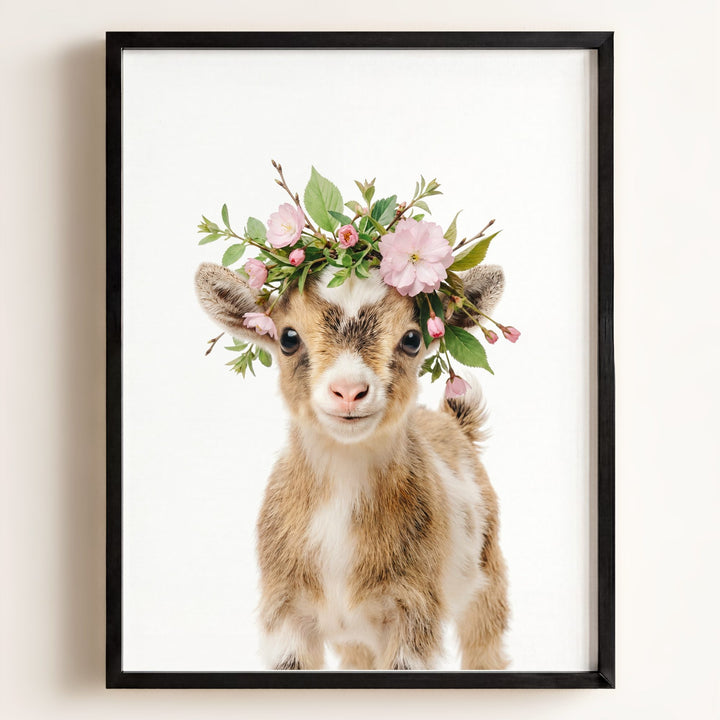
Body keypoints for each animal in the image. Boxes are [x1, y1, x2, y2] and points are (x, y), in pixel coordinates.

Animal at [195, 262, 509, 670]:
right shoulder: (285, 613)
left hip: (487, 577)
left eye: (412, 338)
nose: (348, 391)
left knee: (485, 645)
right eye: (288, 338)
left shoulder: (413, 611)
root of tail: (454, 424)